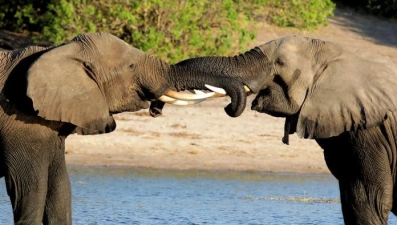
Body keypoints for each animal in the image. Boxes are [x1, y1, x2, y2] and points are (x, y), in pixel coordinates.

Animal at [0, 32, 248, 225]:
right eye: (131, 66)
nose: (230, 108)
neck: (60, 51)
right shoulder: (20, 122)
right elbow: (31, 189)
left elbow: (60, 189)